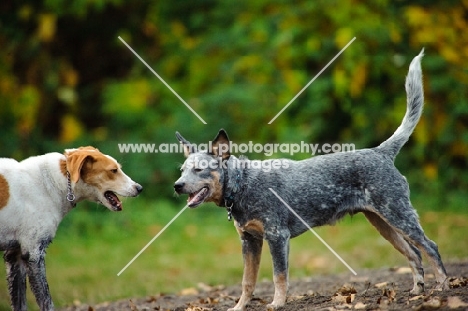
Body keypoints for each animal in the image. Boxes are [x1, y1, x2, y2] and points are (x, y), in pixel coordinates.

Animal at [0, 147, 143, 310]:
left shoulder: (14, 257)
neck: (51, 182)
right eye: (113, 170)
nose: (140, 188)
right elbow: (47, 301)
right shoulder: (33, 254)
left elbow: (20, 303)